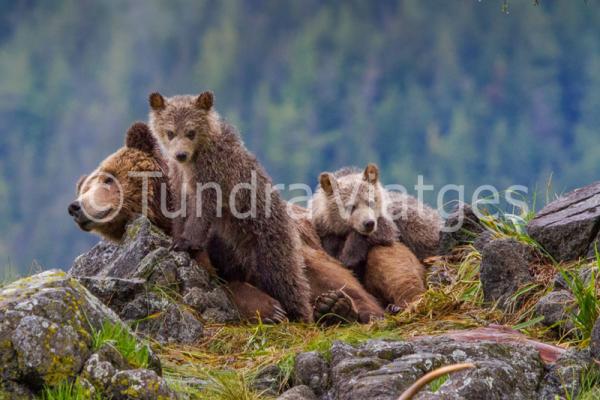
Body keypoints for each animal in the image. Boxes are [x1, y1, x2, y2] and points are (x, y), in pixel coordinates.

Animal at [310, 164, 432, 308]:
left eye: (370, 202)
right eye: (351, 206)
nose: (368, 223)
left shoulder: (386, 222)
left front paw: (351, 254)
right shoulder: (325, 232)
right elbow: (333, 252)